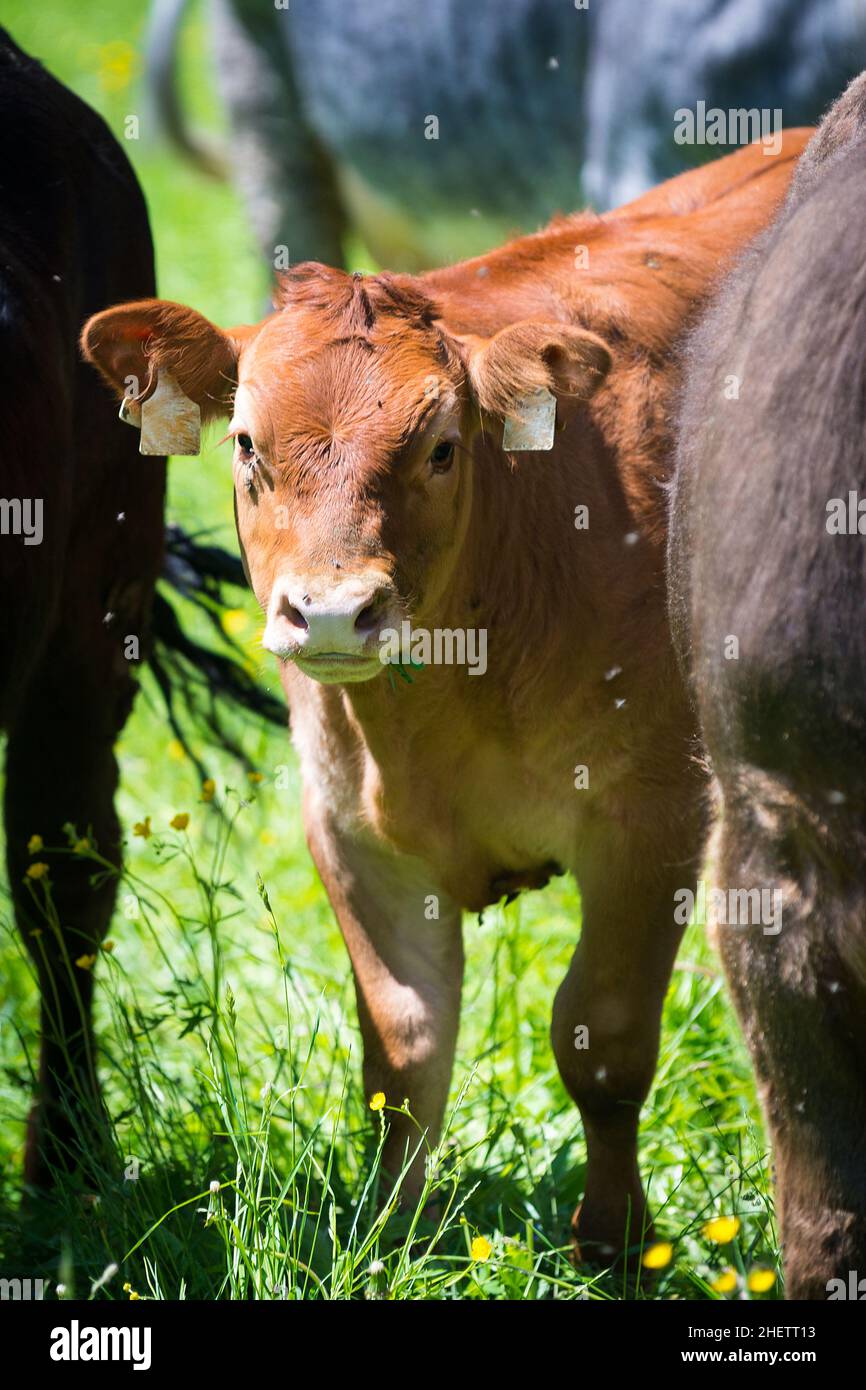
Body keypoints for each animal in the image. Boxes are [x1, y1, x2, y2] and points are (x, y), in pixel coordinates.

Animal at [84, 132, 811, 1273]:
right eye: (245, 443)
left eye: (439, 445)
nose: (333, 613)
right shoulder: (347, 824)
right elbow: (404, 1048)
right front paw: (390, 1232)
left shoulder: (649, 818)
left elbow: (602, 1039)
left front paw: (612, 1241)